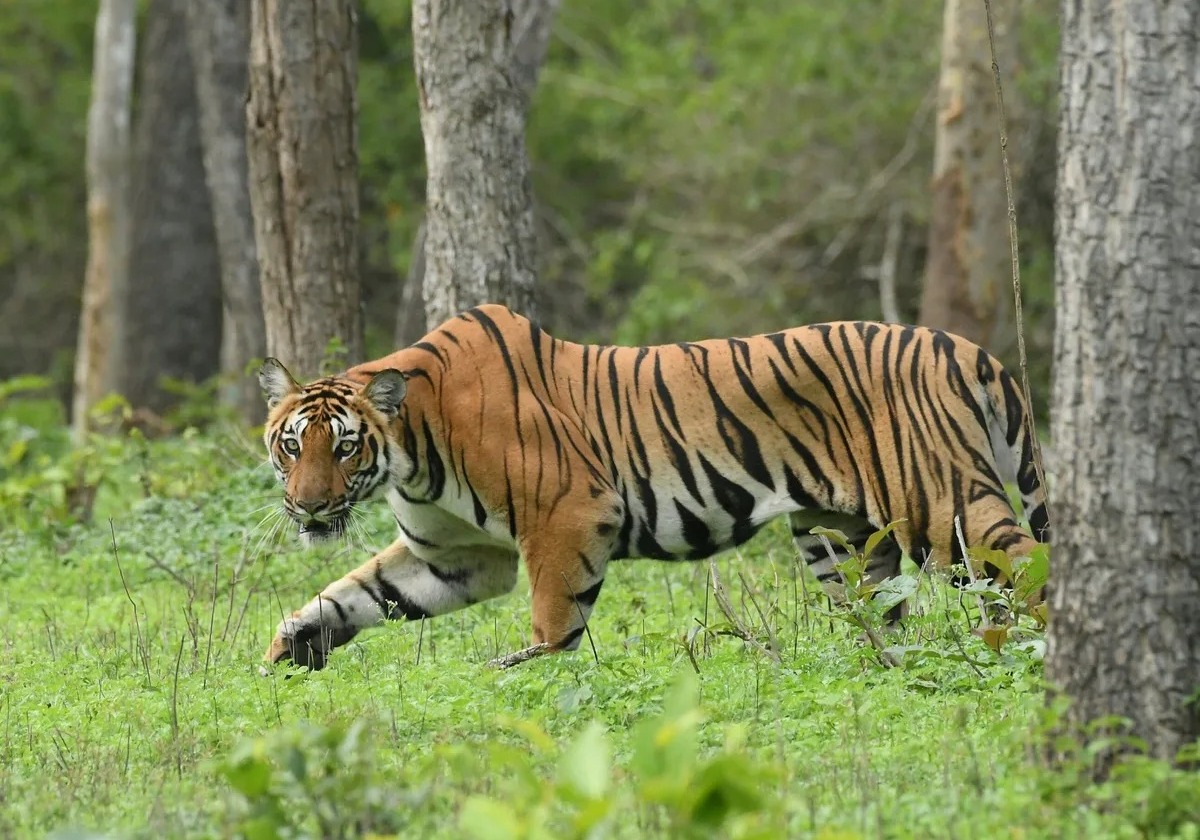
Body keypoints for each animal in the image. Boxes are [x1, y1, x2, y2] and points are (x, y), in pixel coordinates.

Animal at [258, 303, 1046, 667]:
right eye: (292, 446)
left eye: (346, 447)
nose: (308, 506)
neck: (411, 455)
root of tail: (967, 348)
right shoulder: (456, 558)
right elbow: (354, 593)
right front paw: (288, 649)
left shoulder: (570, 515)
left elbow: (552, 626)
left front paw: (521, 675)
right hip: (841, 541)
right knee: (883, 616)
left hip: (941, 507)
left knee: (1024, 568)